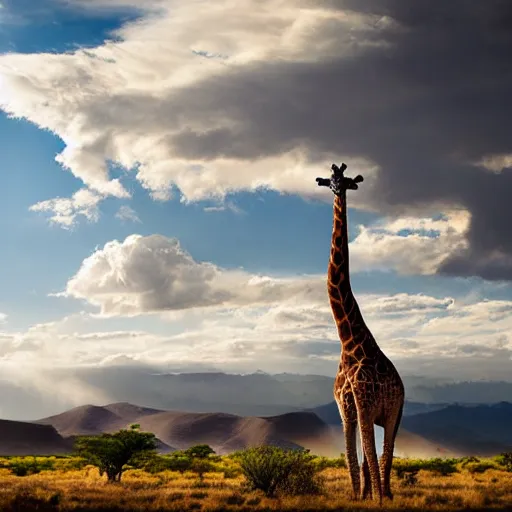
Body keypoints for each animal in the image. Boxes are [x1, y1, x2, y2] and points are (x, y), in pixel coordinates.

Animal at [316, 165, 404, 504]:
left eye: (347, 180)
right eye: (329, 180)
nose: (337, 189)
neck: (350, 342)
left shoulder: (362, 403)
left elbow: (367, 452)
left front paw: (373, 499)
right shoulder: (348, 407)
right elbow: (354, 455)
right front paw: (359, 497)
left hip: (394, 411)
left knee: (385, 451)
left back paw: (385, 496)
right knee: (375, 454)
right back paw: (378, 493)